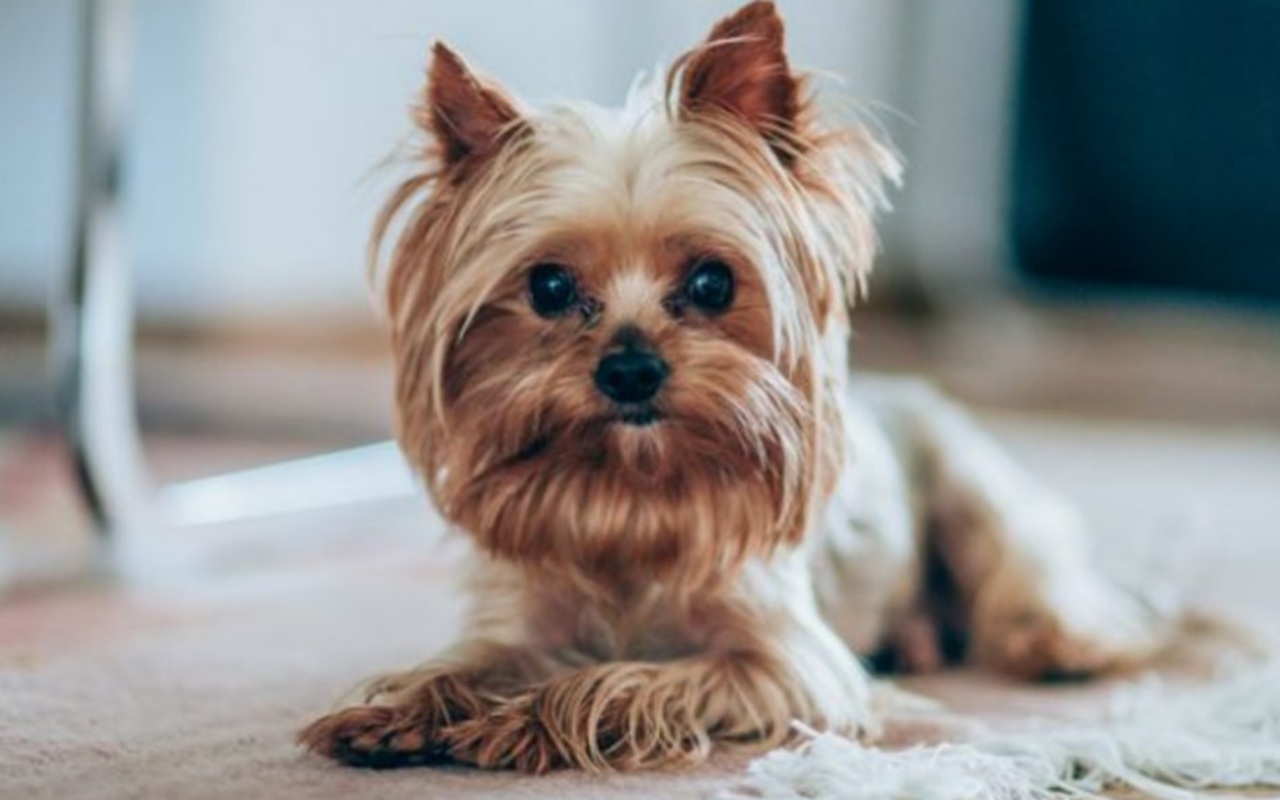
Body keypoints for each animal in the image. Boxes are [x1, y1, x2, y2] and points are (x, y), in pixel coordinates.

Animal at [296, 1, 1172, 773]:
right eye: (547, 287)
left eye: (713, 282)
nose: (630, 369)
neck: (632, 496)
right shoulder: (518, 622)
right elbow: (463, 664)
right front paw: (397, 709)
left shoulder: (783, 668)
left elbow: (622, 683)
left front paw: (526, 721)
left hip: (976, 493)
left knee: (1037, 578)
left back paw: (1058, 644)